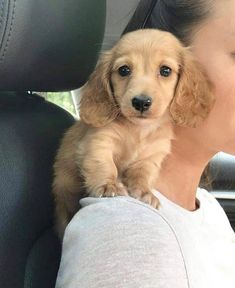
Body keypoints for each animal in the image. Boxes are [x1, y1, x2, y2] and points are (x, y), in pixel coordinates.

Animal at [51, 28, 215, 238]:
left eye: (165, 70)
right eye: (124, 70)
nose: (141, 102)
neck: (138, 130)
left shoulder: (152, 156)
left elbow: (142, 173)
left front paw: (144, 192)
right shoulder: (100, 142)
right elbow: (104, 164)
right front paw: (109, 185)